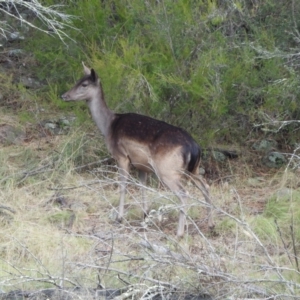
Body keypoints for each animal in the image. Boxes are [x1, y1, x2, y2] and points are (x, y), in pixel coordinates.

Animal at [61, 62, 214, 237]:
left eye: (85, 84)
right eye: (78, 80)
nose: (64, 95)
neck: (108, 126)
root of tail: (194, 148)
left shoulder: (121, 156)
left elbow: (122, 186)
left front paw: (119, 217)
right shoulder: (142, 165)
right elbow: (142, 186)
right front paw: (145, 214)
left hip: (167, 170)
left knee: (184, 194)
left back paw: (179, 233)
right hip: (193, 169)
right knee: (206, 187)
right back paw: (211, 225)